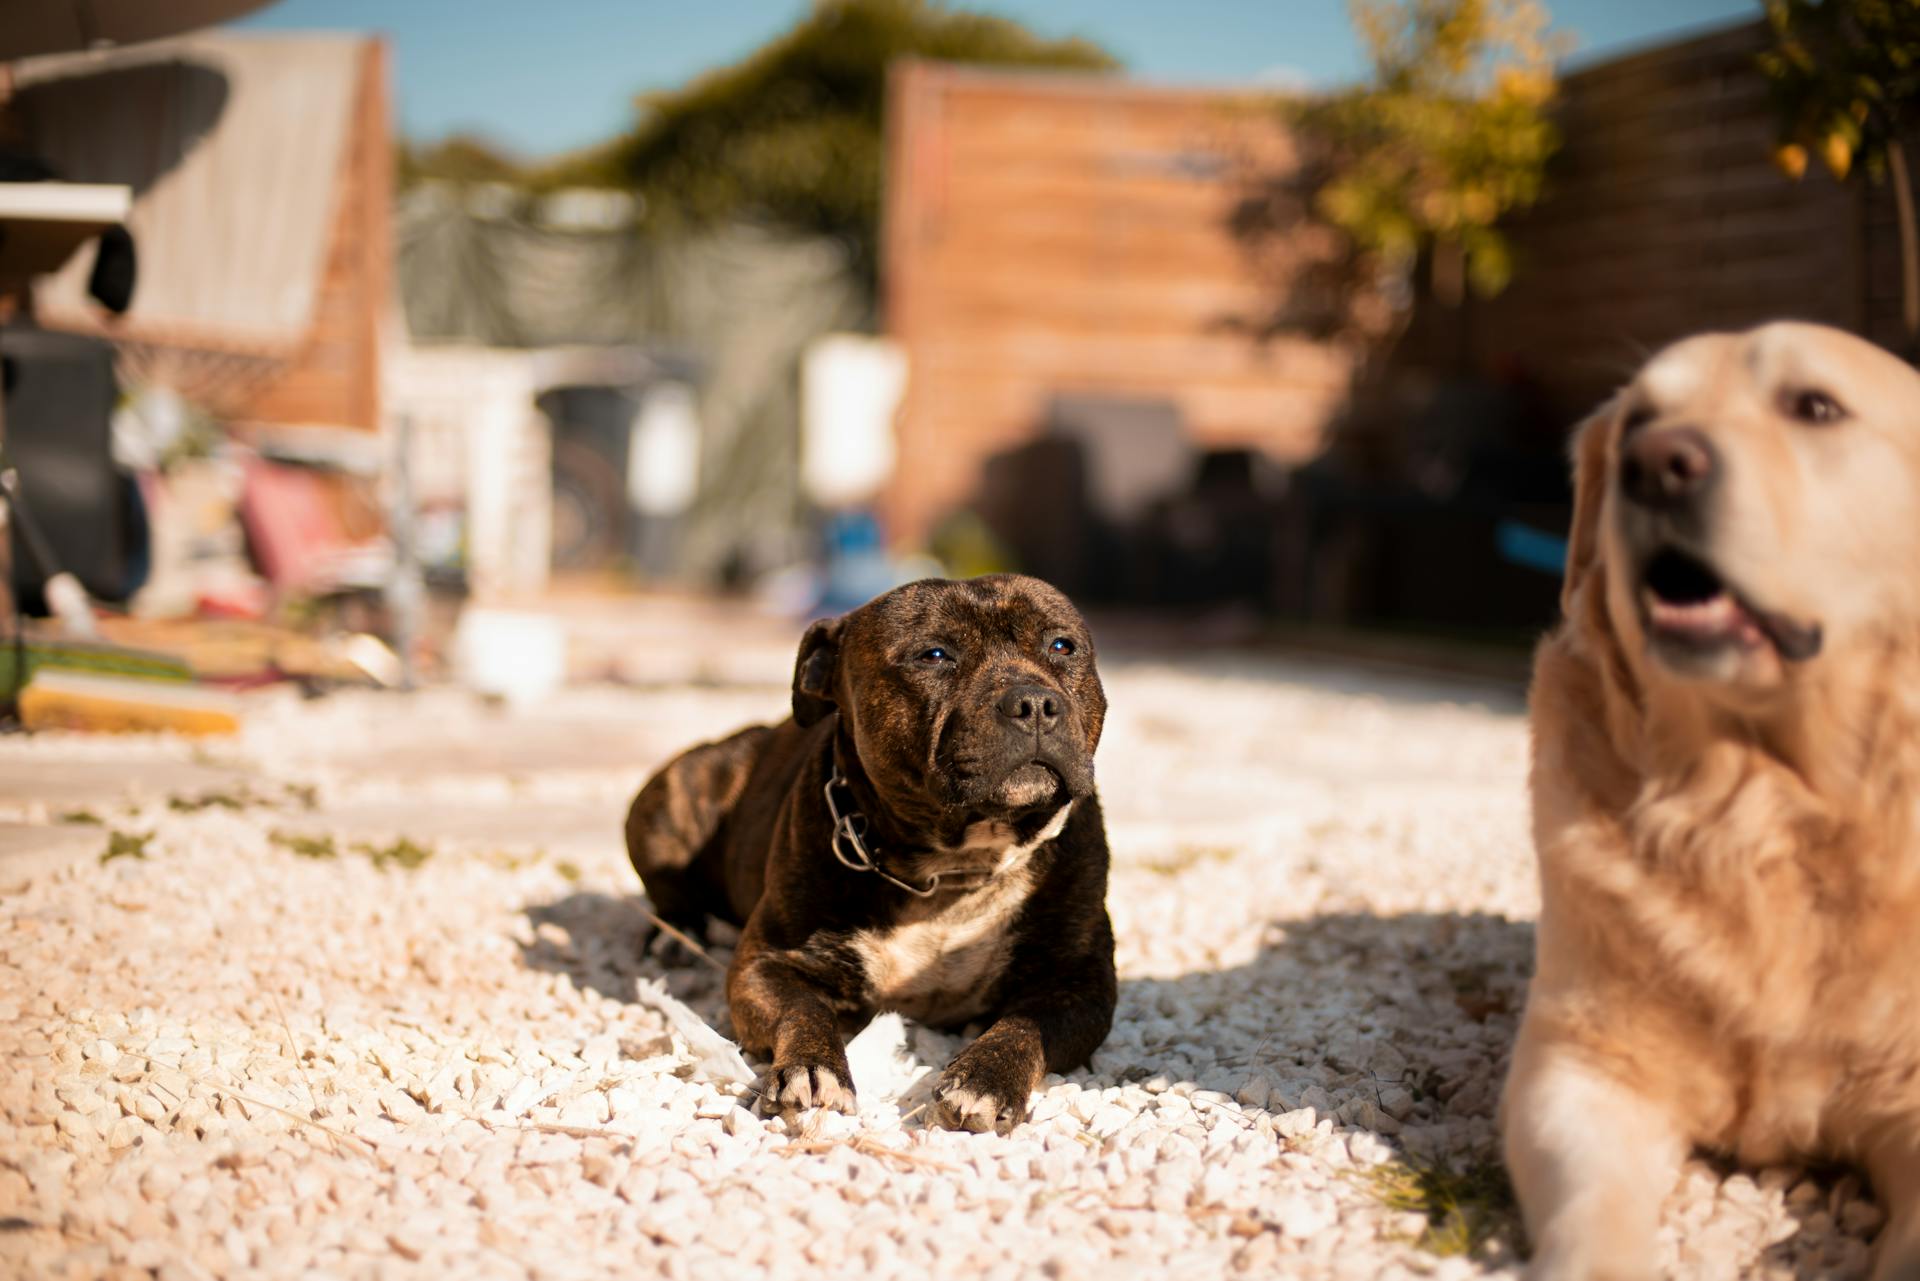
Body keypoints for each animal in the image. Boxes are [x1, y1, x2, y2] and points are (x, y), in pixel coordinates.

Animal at [622, 576, 1121, 1136]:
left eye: (1062, 646)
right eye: (934, 655)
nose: (1034, 701)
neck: (954, 865)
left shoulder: (1078, 985)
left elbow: (1024, 1026)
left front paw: (986, 1078)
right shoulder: (764, 965)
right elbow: (804, 1010)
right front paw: (814, 1067)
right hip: (675, 790)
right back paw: (676, 931)